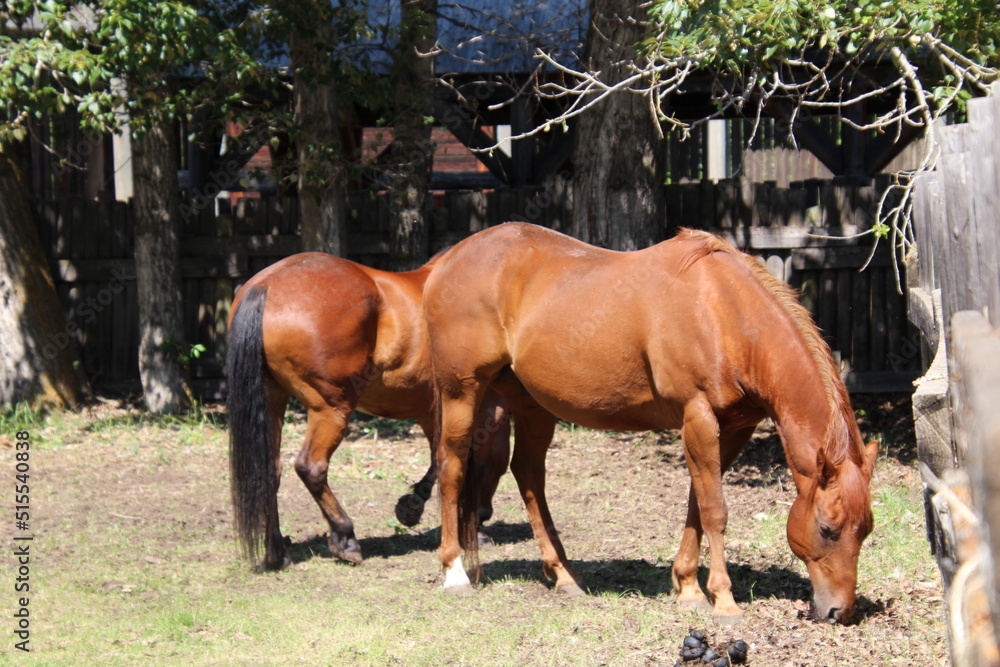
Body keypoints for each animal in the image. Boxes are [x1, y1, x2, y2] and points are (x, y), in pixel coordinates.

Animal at [226, 252, 511, 571]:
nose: (485, 515)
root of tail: (265, 285)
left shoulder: (430, 412)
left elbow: (438, 459)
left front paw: (412, 507)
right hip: (332, 409)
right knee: (311, 467)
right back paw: (345, 537)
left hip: (273, 401)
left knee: (269, 473)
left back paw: (278, 552)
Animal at [421, 222, 877, 624]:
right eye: (828, 528)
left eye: (866, 530)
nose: (839, 612)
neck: (722, 310)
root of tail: (444, 261)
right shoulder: (697, 417)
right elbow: (715, 510)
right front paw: (723, 600)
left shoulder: (732, 428)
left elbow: (697, 502)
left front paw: (688, 588)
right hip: (462, 392)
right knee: (452, 467)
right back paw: (455, 573)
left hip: (532, 404)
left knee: (528, 474)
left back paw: (564, 576)